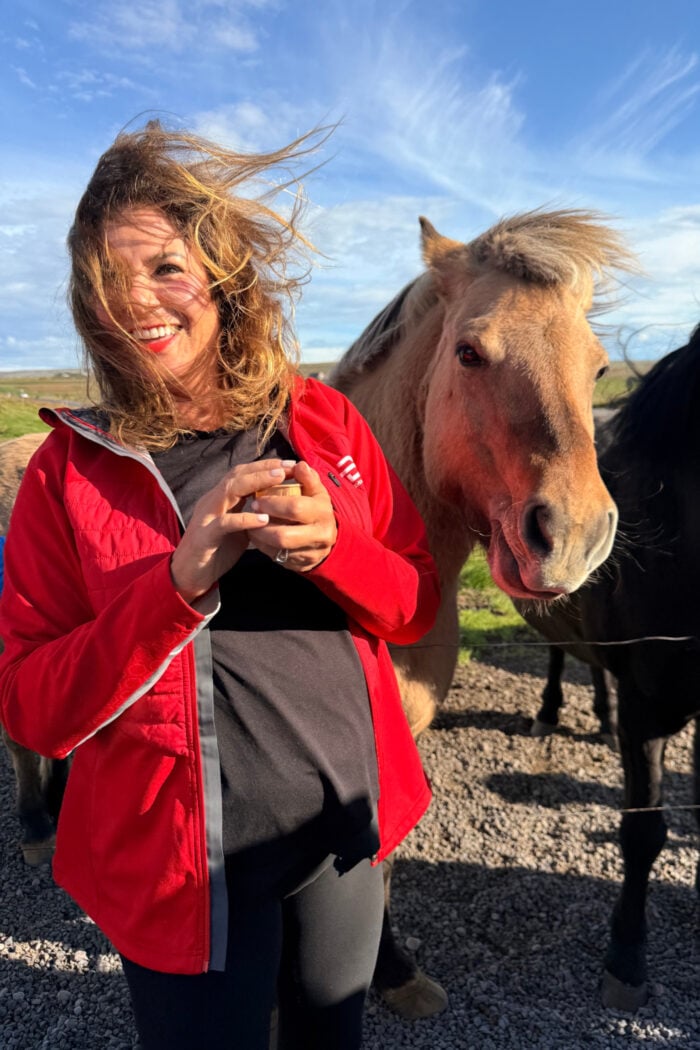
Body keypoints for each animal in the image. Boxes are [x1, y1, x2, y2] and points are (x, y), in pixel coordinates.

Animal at [518, 324, 700, 1011]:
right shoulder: (649, 708)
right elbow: (643, 833)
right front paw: (626, 955)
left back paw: (598, 714)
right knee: (556, 651)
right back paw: (551, 712)